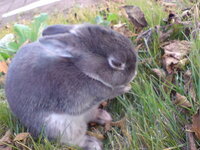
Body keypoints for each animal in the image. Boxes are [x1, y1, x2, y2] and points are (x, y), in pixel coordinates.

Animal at [5, 24, 138, 149]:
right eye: (116, 63)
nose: (134, 74)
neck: (83, 70)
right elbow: (110, 91)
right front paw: (126, 88)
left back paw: (104, 117)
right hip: (61, 127)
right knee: (74, 140)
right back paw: (93, 144)